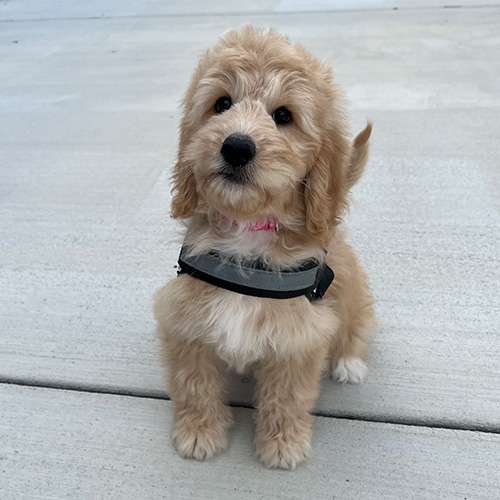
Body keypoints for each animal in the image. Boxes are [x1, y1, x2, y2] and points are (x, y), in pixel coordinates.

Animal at [154, 25, 374, 470]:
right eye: (222, 103)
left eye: (284, 115)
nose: (236, 147)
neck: (247, 229)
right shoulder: (185, 320)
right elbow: (194, 383)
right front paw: (199, 433)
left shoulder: (300, 336)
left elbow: (287, 397)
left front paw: (283, 444)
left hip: (352, 289)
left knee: (357, 324)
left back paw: (349, 362)